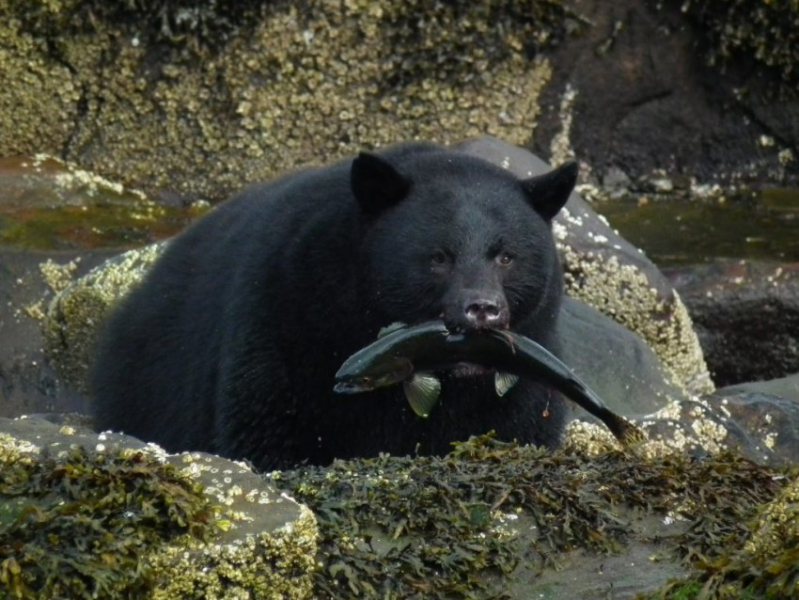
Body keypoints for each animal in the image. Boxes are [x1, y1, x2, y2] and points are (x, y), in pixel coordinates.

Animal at [90, 143, 580, 472]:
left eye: (506, 256)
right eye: (439, 257)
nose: (483, 309)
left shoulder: (530, 373)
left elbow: (521, 429)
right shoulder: (289, 316)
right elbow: (266, 428)